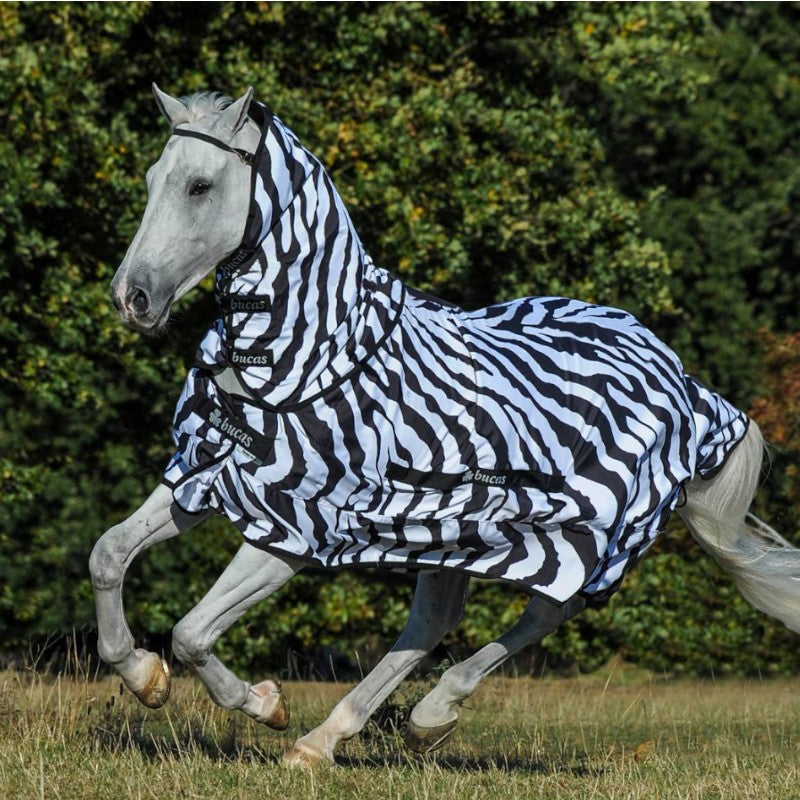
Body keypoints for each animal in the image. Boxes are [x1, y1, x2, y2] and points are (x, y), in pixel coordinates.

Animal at [90, 85, 800, 766]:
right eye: (152, 178)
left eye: (199, 185)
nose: (131, 298)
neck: (305, 353)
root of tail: (681, 378)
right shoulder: (206, 472)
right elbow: (108, 556)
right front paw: (143, 678)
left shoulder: (293, 525)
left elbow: (191, 633)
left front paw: (264, 704)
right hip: (454, 531)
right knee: (433, 622)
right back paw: (326, 741)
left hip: (582, 534)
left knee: (550, 607)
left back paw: (424, 716)